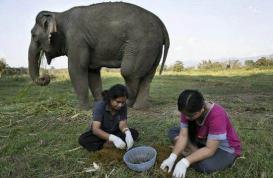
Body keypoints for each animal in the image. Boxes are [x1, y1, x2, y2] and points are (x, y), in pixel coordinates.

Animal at [27, 2, 168, 109]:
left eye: (33, 35)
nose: (45, 77)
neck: (59, 14)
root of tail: (161, 24)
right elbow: (92, 72)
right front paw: (100, 103)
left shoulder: (76, 39)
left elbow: (76, 68)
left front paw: (81, 109)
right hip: (154, 48)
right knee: (147, 77)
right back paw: (140, 107)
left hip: (142, 44)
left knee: (129, 72)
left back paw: (128, 104)